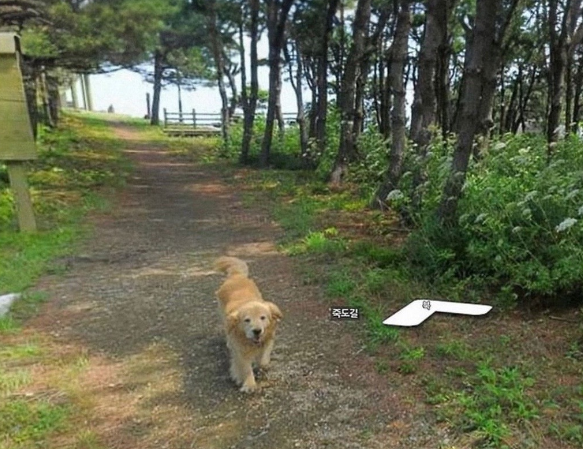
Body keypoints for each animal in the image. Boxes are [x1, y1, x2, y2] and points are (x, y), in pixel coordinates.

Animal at [217, 256, 286, 392]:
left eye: (263, 318)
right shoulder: (240, 351)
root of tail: (236, 276)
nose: (257, 331)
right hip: (223, 316)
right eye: (247, 320)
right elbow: (245, 368)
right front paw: (249, 384)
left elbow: (263, 360)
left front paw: (261, 365)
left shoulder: (268, 339)